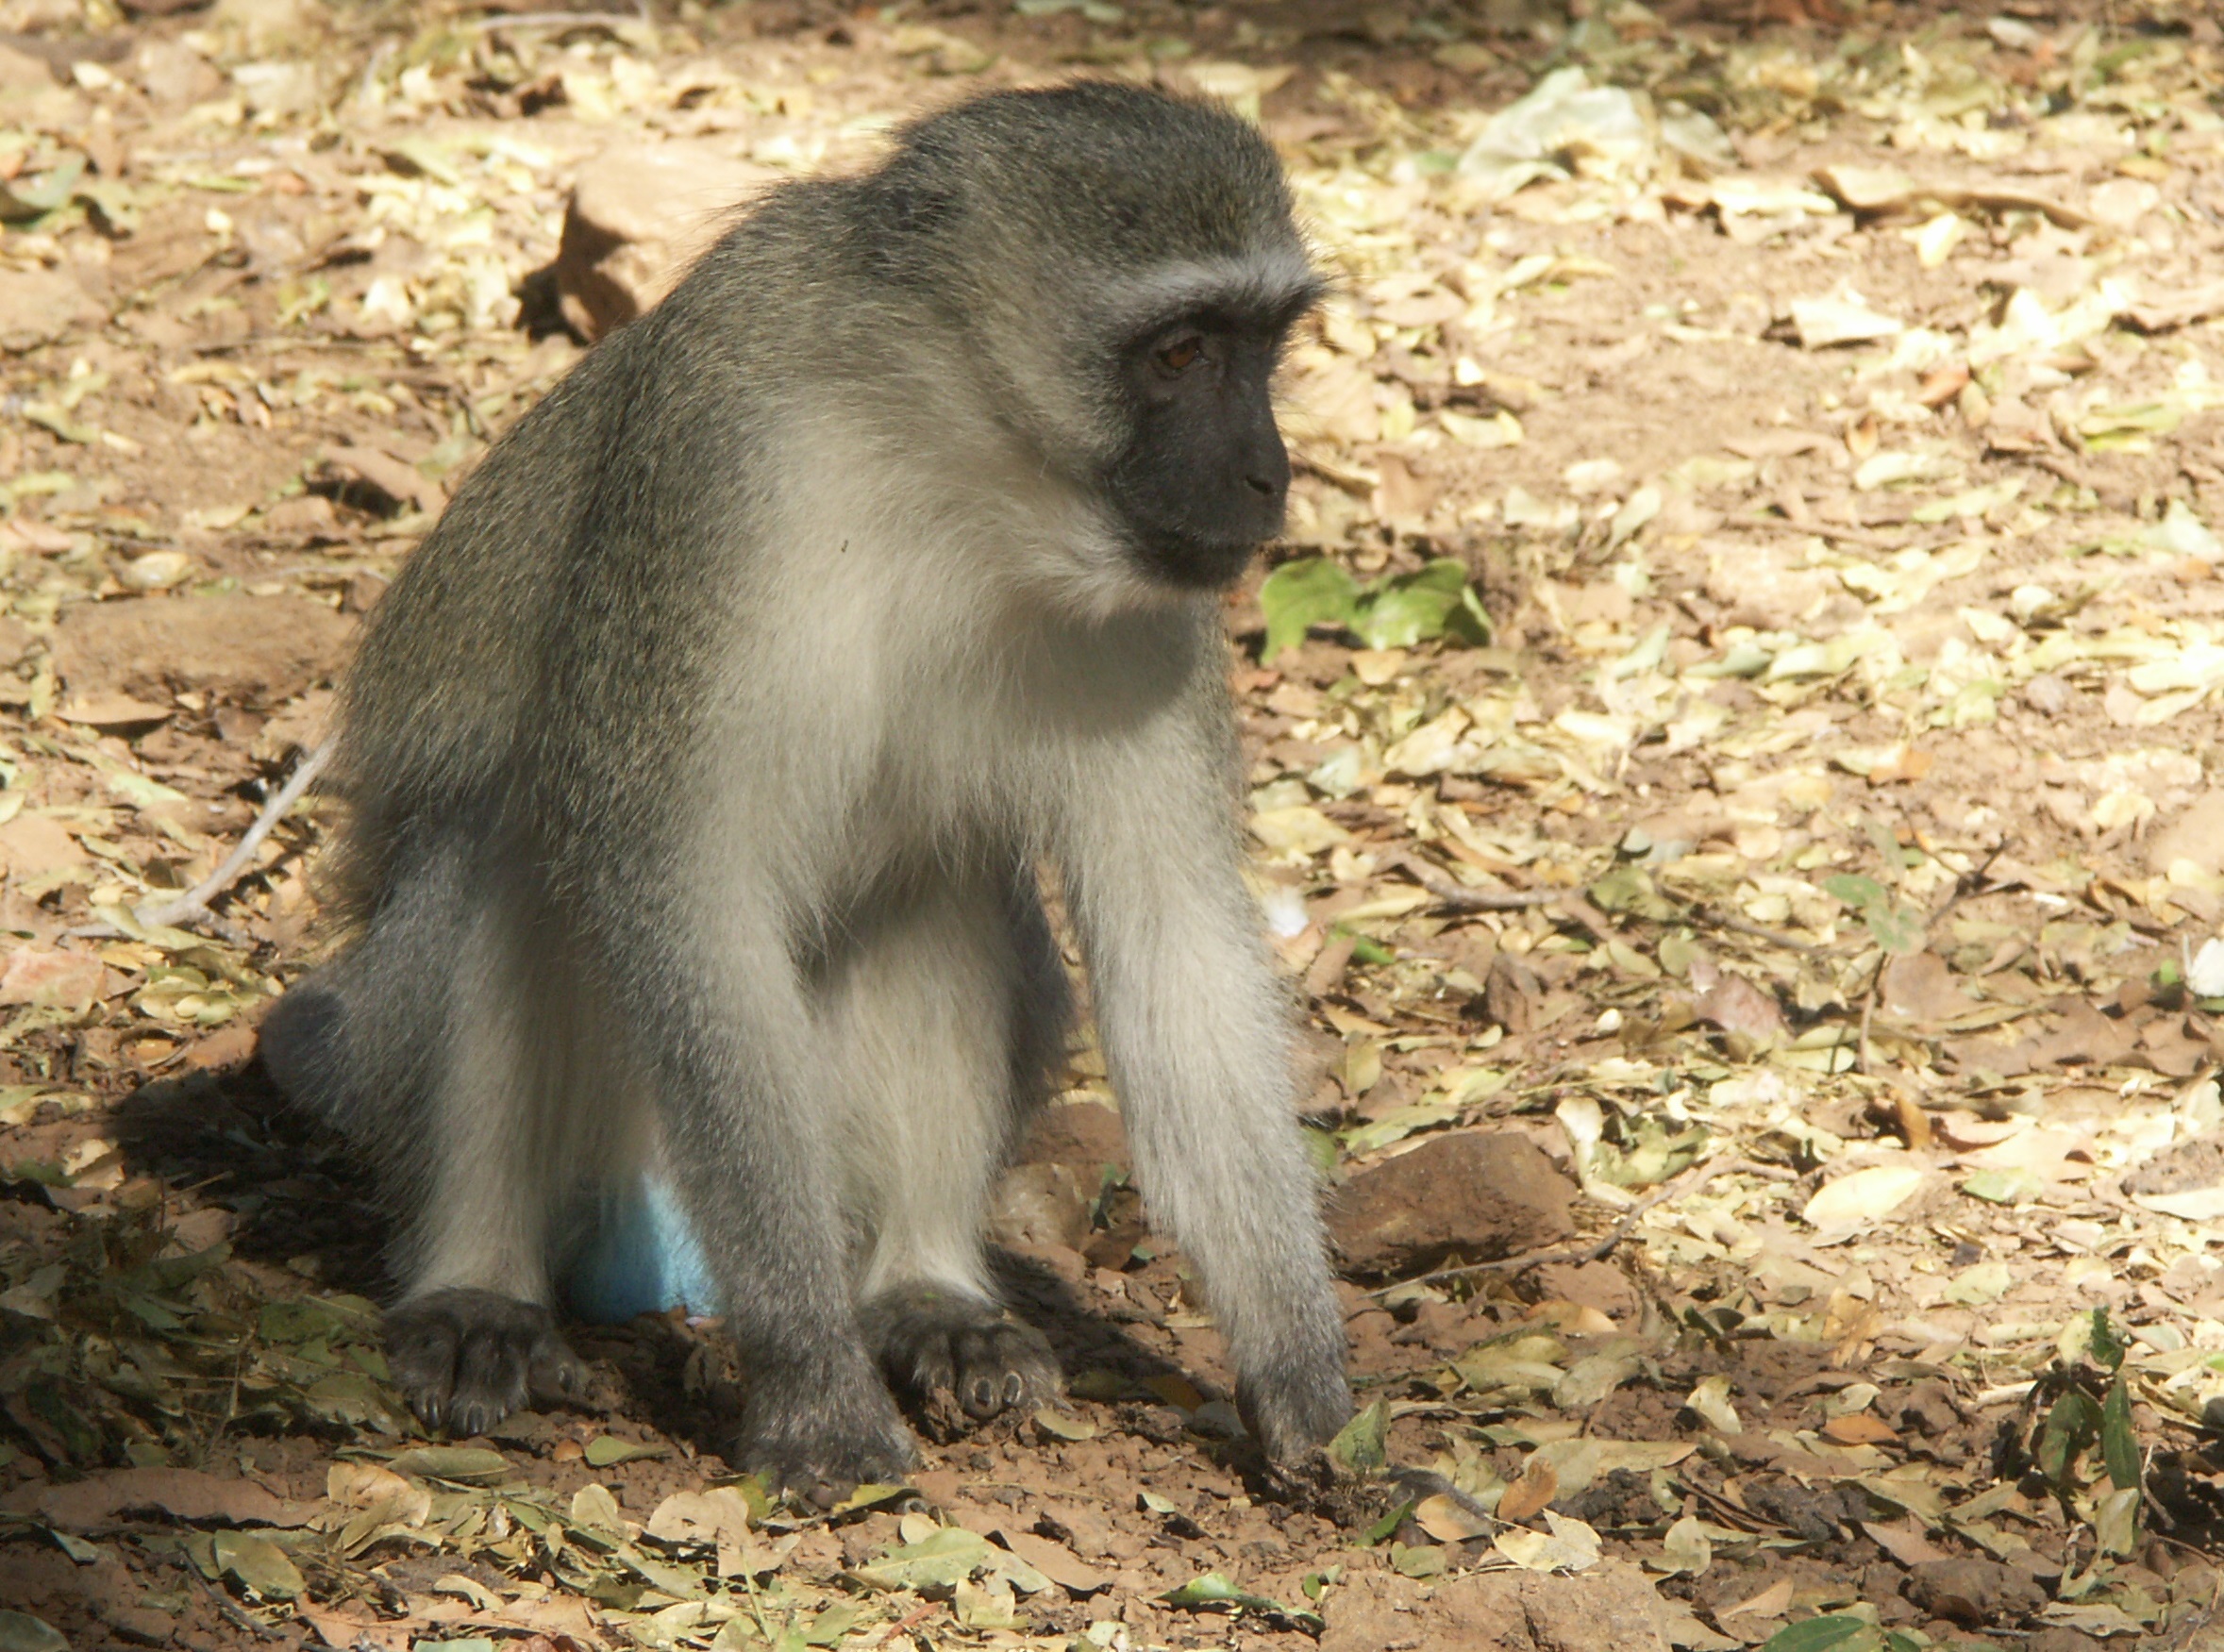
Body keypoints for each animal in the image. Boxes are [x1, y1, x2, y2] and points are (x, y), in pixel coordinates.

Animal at [252, 83, 1343, 1493]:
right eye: (1179, 352)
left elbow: (1176, 943)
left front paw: (1309, 1386)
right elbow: (682, 883)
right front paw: (812, 1380)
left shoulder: (1150, 608)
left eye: (1262, 344)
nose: (1268, 473)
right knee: (509, 862)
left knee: (941, 886)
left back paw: (924, 1290)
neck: (952, 469)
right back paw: (480, 1286)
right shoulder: (723, 470)